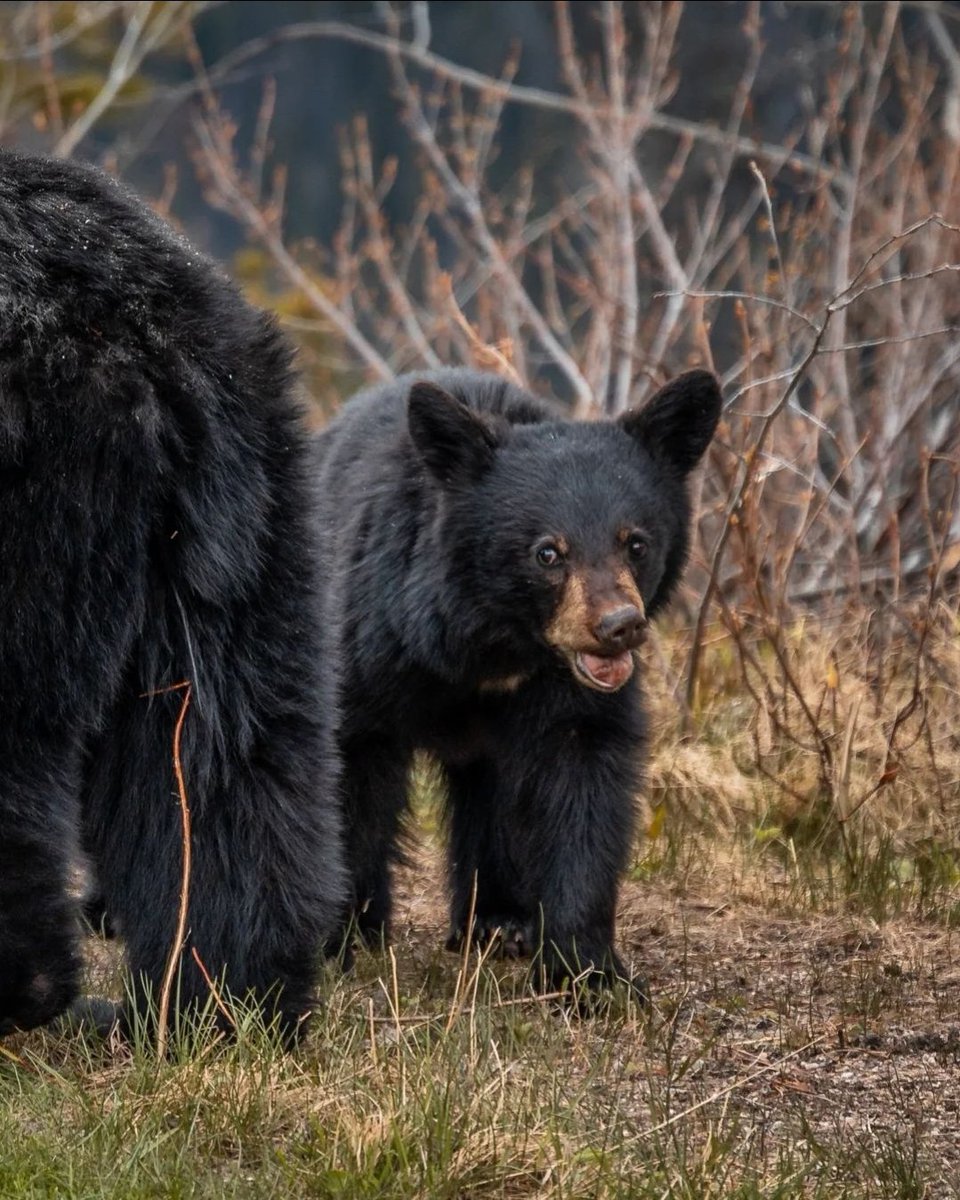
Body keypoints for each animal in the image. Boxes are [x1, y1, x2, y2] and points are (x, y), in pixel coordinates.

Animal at [314, 362, 720, 993]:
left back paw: (499, 923)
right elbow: (351, 772)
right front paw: (340, 942)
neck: (493, 646)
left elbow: (583, 788)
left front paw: (587, 973)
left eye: (636, 543)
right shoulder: (372, 639)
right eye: (547, 553)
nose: (618, 627)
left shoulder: (568, 696)